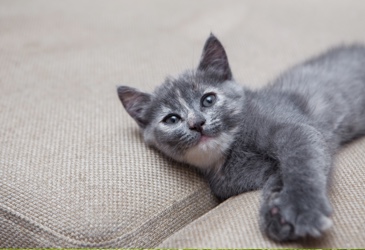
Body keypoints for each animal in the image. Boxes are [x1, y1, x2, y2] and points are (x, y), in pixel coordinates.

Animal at [117, 34, 364, 241]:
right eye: (171, 119)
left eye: (208, 100)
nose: (197, 123)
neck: (229, 153)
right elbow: (277, 175)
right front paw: (277, 216)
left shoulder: (296, 127)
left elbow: (301, 160)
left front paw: (301, 208)